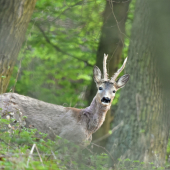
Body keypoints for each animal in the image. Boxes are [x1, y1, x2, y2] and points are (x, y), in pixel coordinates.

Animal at [0, 54, 129, 145]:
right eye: (100, 87)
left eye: (114, 91)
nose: (106, 99)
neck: (89, 127)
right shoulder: (64, 137)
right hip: (12, 118)